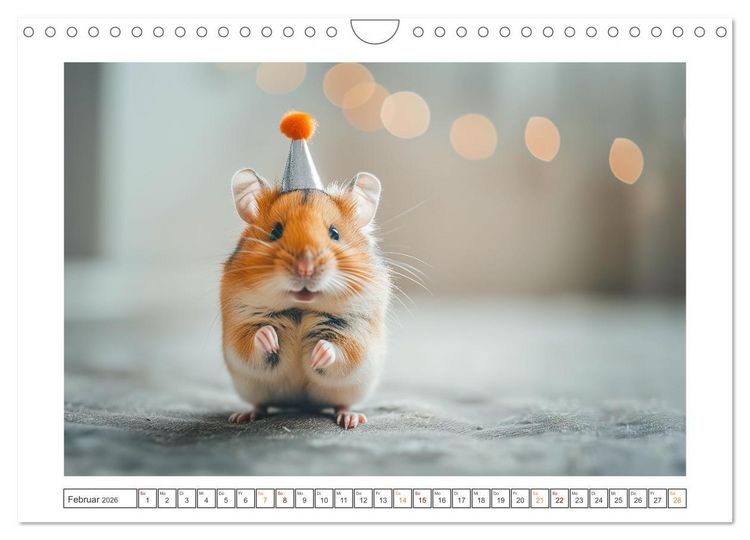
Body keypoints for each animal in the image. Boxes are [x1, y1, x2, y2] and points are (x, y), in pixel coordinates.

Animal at [220, 112, 391, 429]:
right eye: (275, 232)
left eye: (334, 233)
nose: (305, 267)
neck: (300, 309)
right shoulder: (240, 324)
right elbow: (252, 339)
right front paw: (270, 338)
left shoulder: (357, 332)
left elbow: (342, 350)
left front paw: (316, 354)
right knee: (260, 403)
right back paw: (243, 416)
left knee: (342, 403)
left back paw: (351, 419)